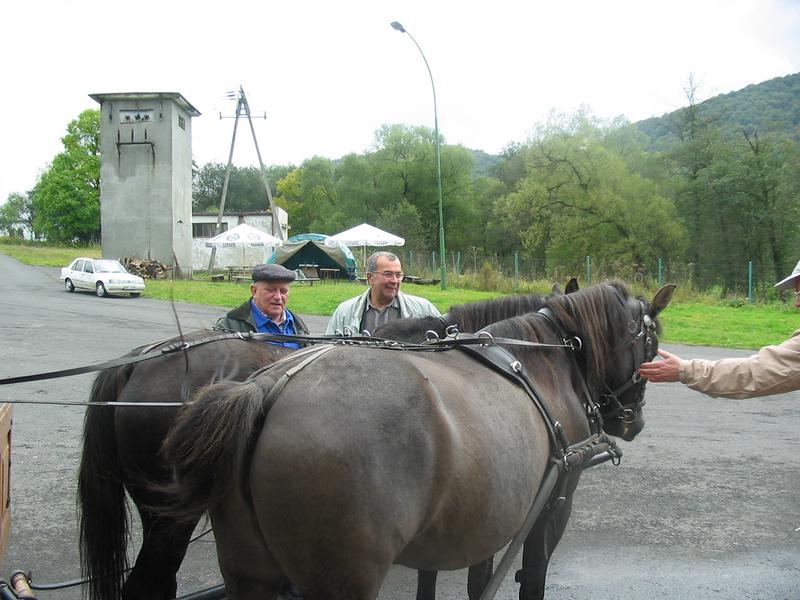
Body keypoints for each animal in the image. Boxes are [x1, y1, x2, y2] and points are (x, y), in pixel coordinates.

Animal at [161, 282, 668, 600]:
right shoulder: (552, 502)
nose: (633, 421)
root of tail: (268, 388)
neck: (544, 359)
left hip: (250, 574)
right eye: (651, 346)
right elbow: (533, 578)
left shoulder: (477, 513)